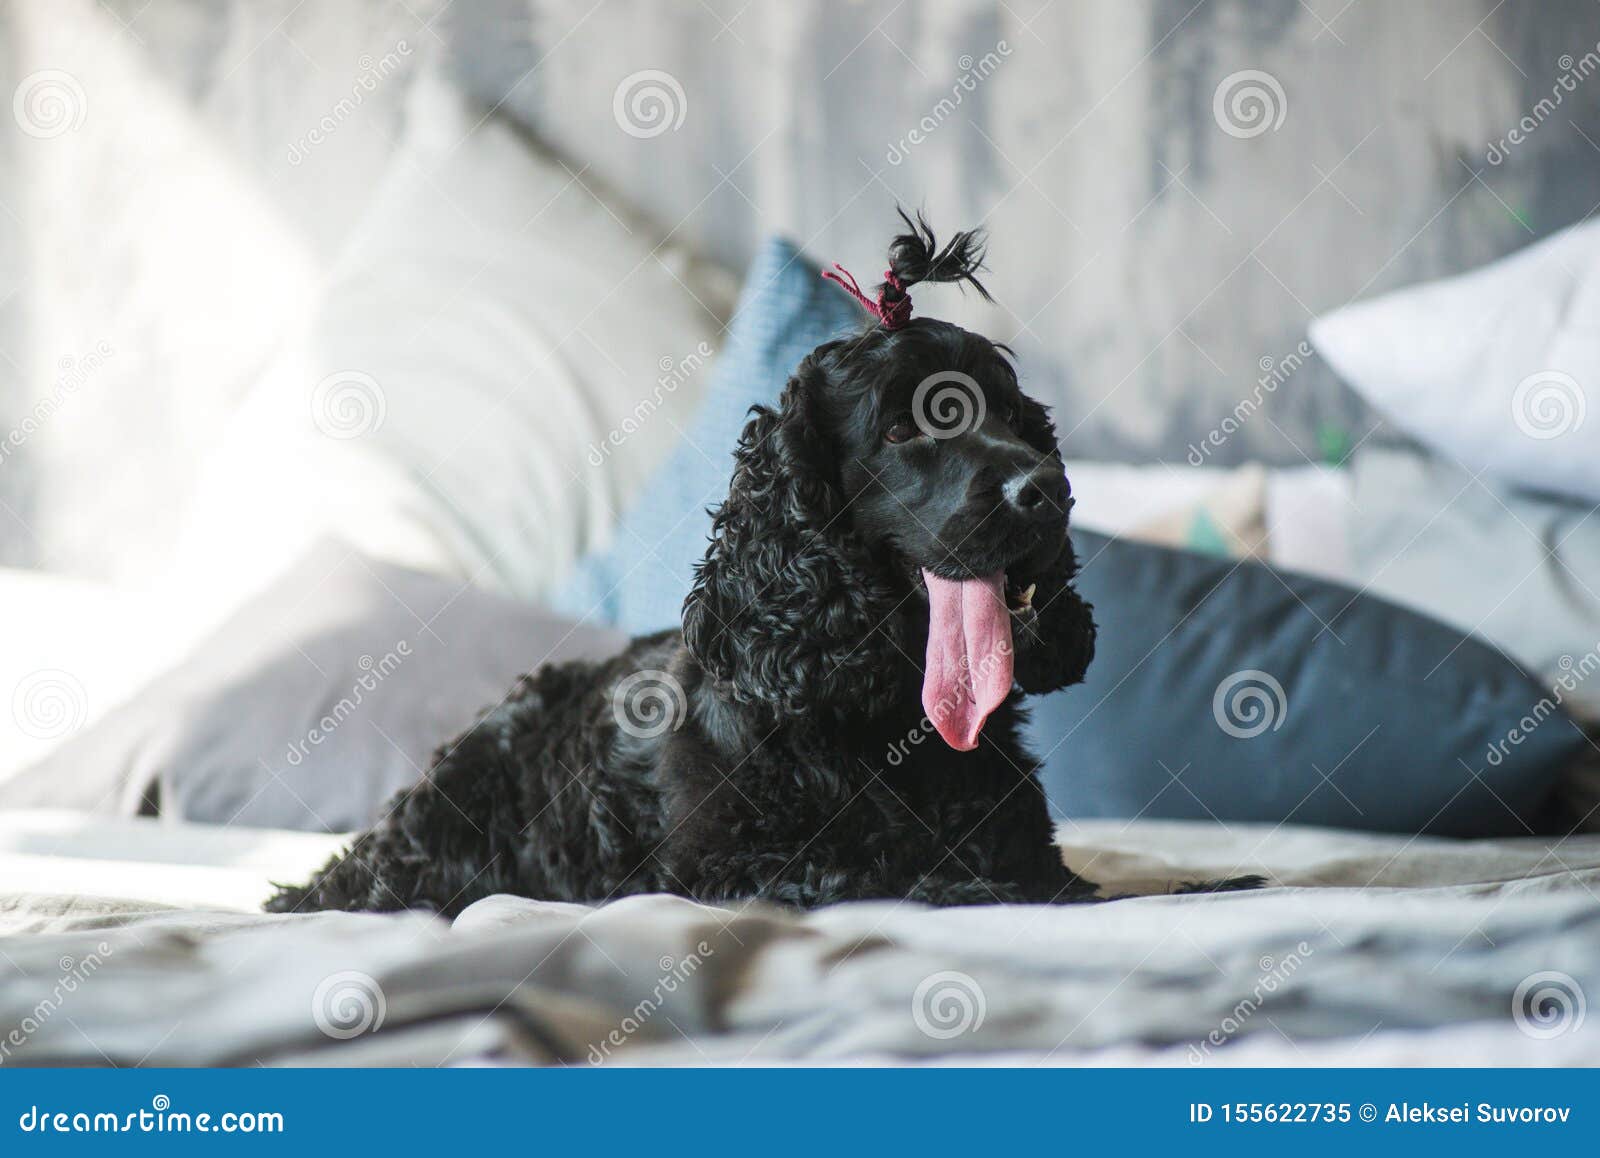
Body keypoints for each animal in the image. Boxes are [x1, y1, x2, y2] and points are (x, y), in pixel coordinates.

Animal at [268, 217, 1107, 914]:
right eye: (906, 428)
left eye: (1012, 416)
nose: (1050, 490)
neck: (889, 719)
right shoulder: (734, 870)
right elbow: (892, 876)